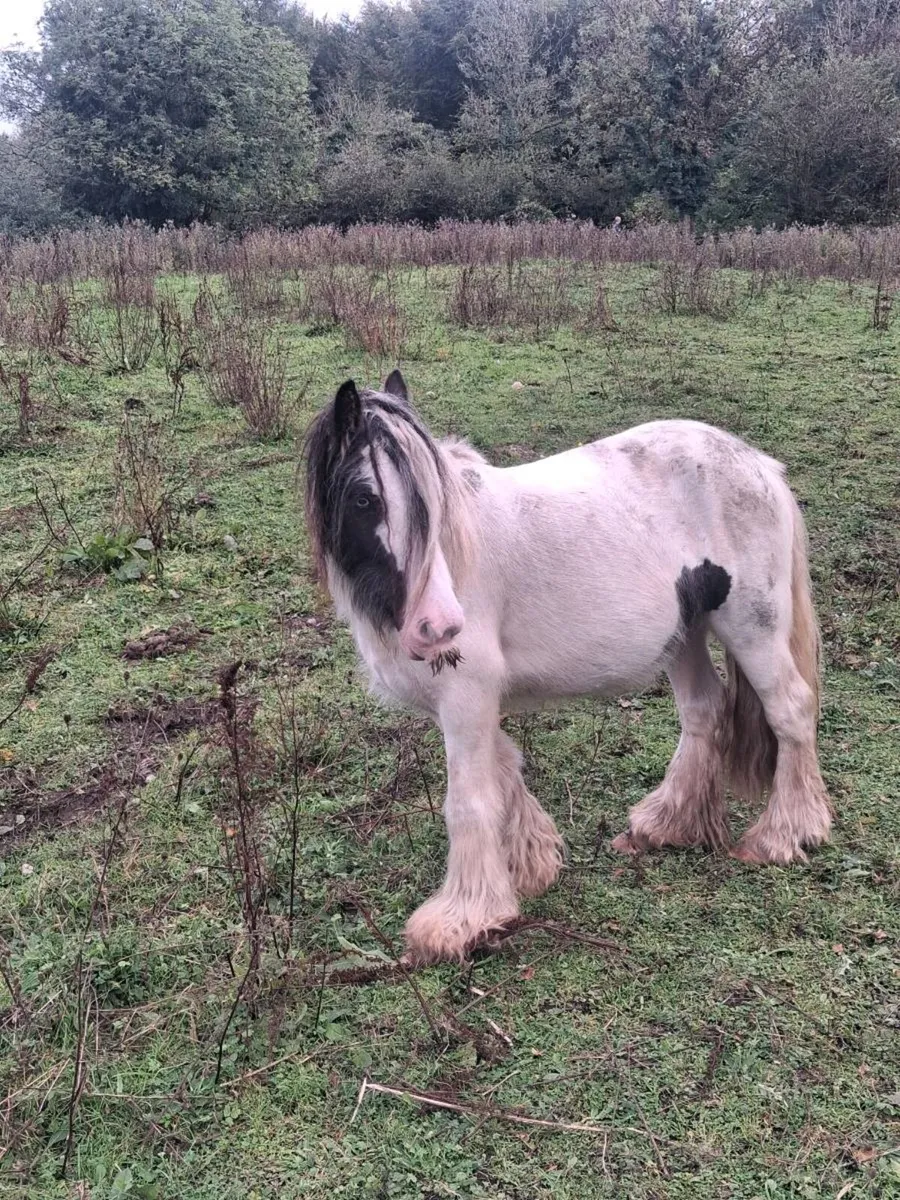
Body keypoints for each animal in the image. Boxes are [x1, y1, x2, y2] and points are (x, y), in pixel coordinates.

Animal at [304, 371, 832, 964]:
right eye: (363, 498)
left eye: (432, 504)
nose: (438, 626)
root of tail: (758, 464)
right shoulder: (471, 705)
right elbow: (505, 768)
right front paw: (528, 866)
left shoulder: (466, 698)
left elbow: (468, 801)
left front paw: (461, 920)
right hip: (685, 633)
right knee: (703, 710)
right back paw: (668, 823)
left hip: (752, 628)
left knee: (790, 711)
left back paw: (784, 835)